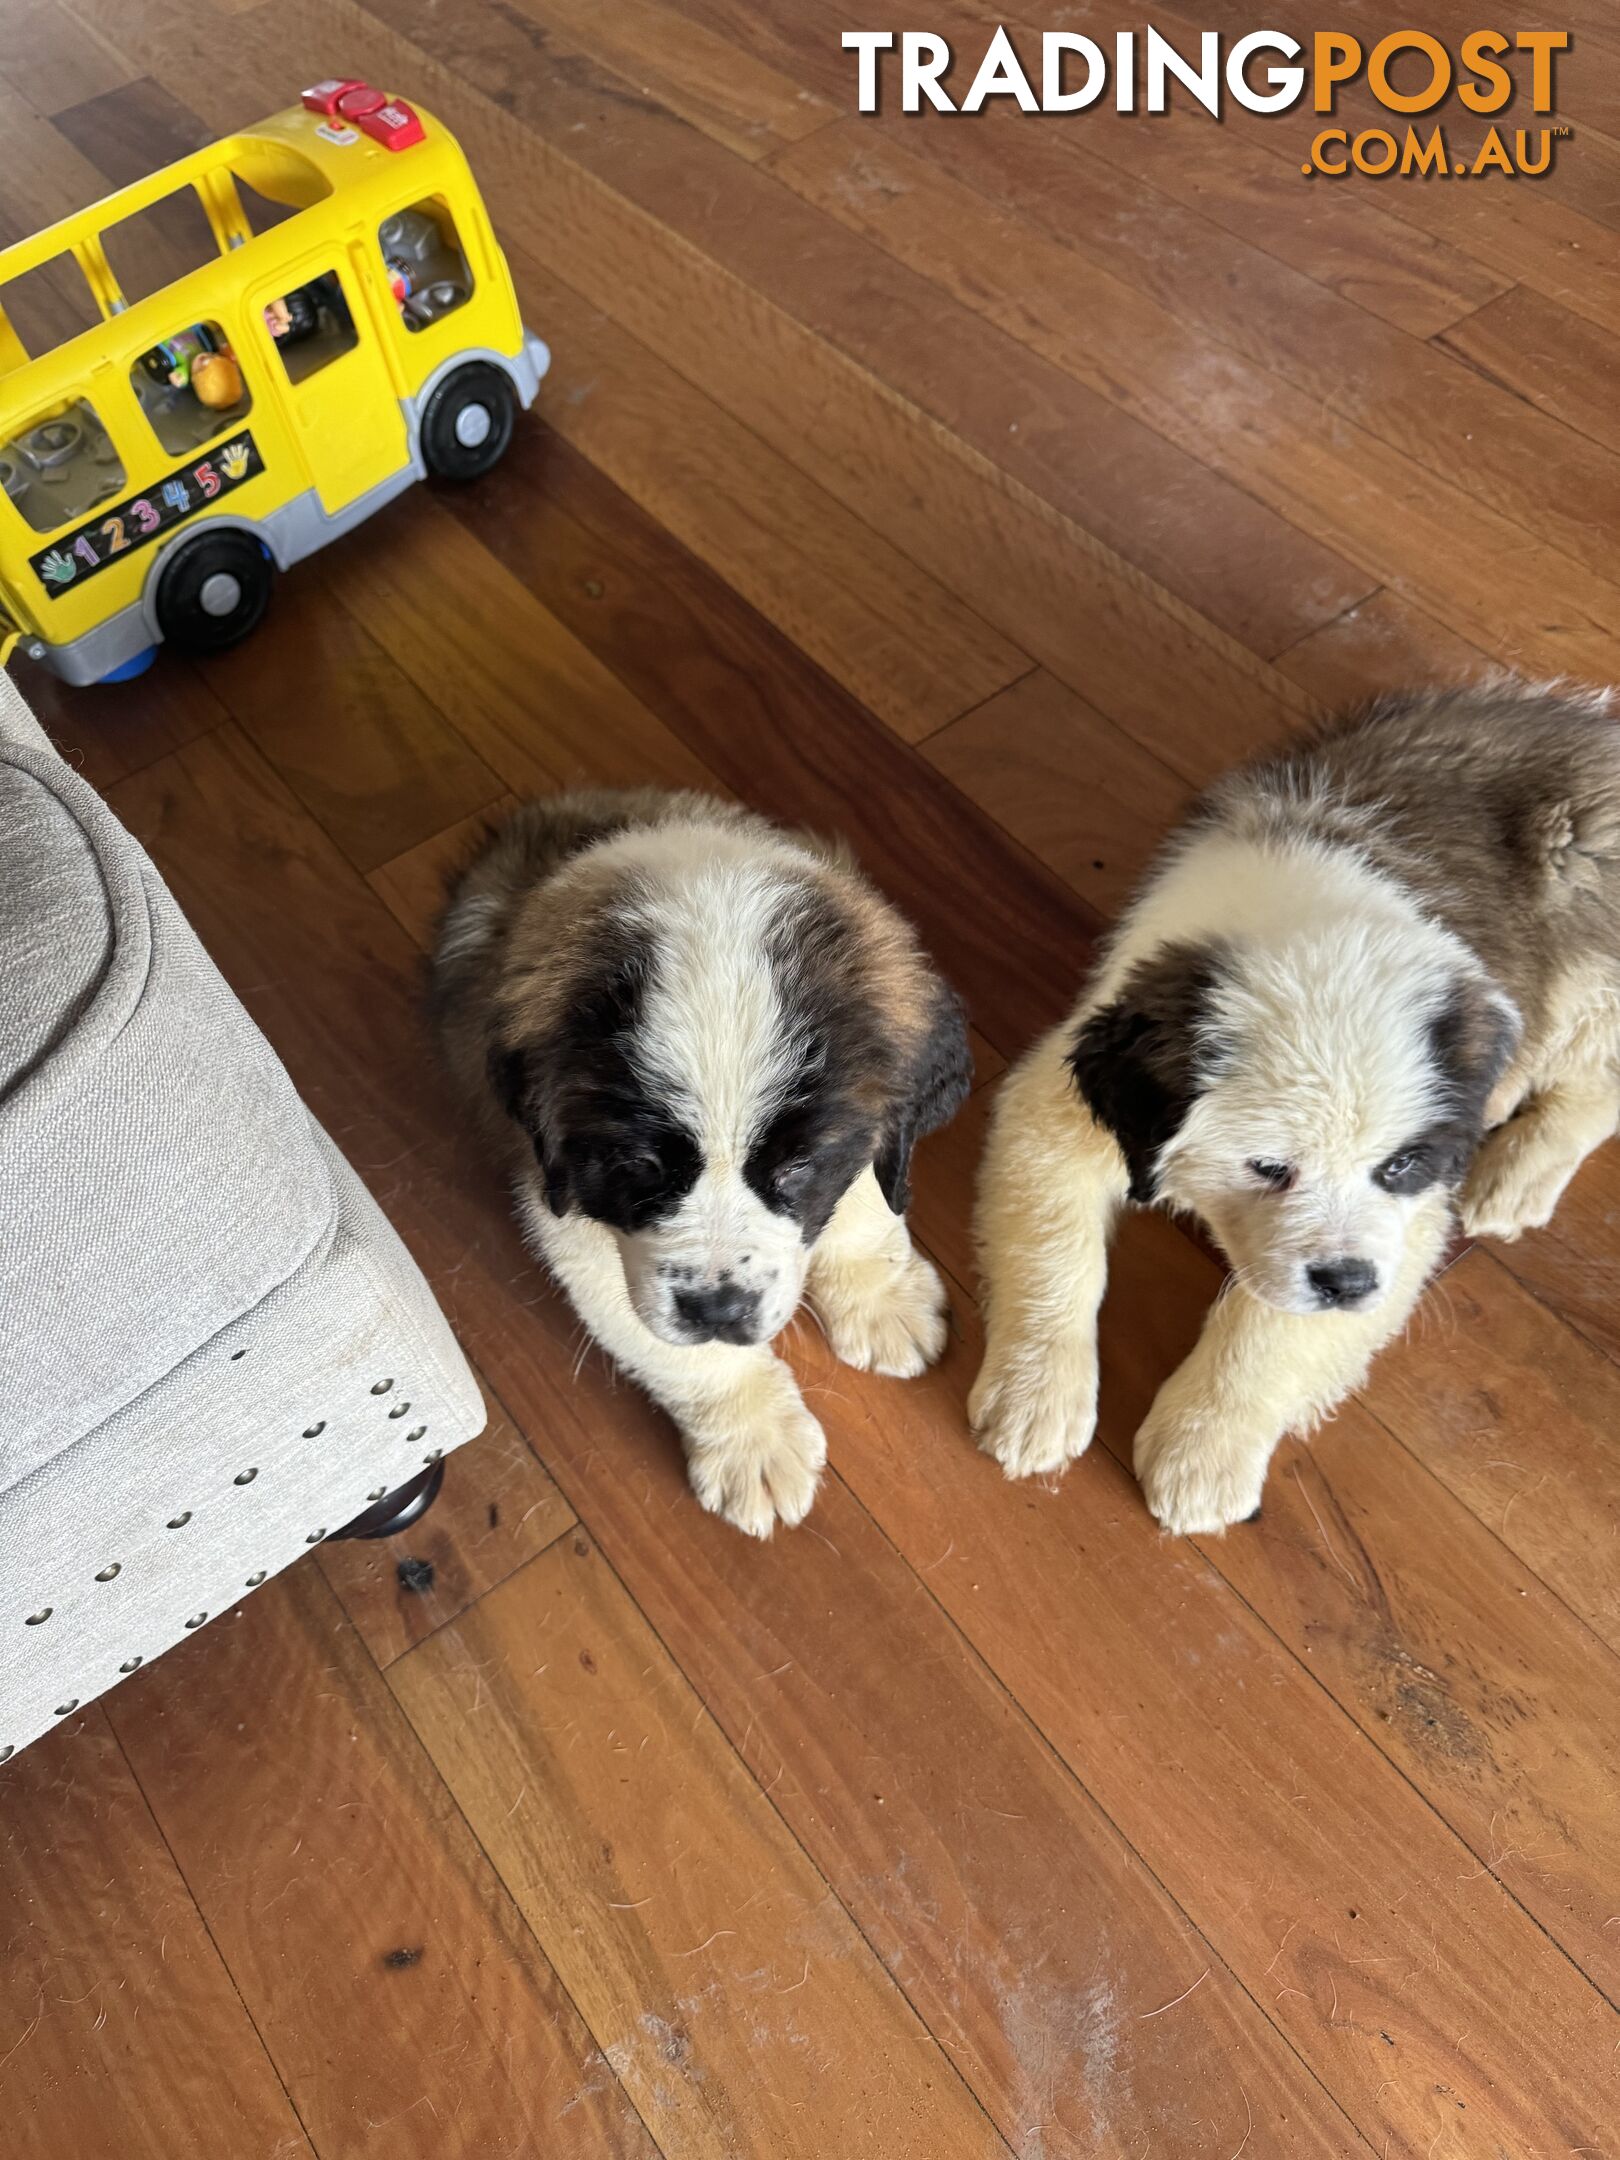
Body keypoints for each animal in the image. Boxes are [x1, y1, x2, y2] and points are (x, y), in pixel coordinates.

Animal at [427, 790, 976, 1537]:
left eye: (800, 1165)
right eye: (638, 1164)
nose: (718, 1309)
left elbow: (866, 1197)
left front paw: (879, 1292)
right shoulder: (568, 1217)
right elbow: (682, 1355)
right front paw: (754, 1441)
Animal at [972, 678, 1620, 1537]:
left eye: (1399, 1166)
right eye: (1268, 1168)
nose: (1346, 1284)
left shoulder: (1400, 1228)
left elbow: (1270, 1332)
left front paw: (1203, 1451)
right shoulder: (1062, 1106)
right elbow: (1054, 1248)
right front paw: (1034, 1394)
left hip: (1590, 923)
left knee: (1601, 1073)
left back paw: (1515, 1171)